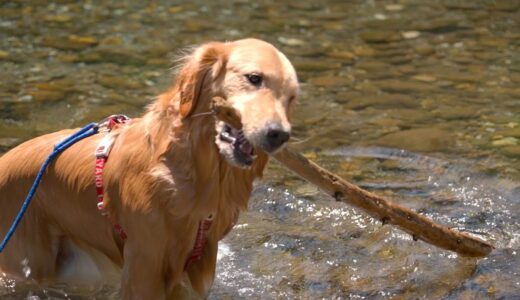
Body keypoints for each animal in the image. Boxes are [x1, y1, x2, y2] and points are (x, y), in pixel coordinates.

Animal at [0, 38, 298, 298]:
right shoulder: (144, 263)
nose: (280, 135)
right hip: (30, 258)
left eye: (292, 98)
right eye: (254, 78)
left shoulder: (200, 264)